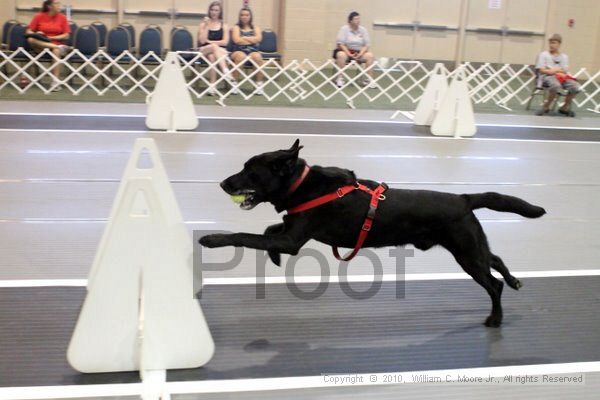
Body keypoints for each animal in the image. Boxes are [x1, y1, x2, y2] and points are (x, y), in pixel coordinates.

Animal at [199, 139, 548, 326]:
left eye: (250, 171)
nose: (223, 183)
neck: (303, 185)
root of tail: (463, 198)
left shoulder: (292, 239)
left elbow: (245, 236)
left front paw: (212, 239)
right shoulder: (289, 231)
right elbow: (268, 229)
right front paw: (272, 257)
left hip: (466, 253)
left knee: (493, 283)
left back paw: (496, 318)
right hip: (471, 246)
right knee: (495, 258)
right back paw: (515, 281)